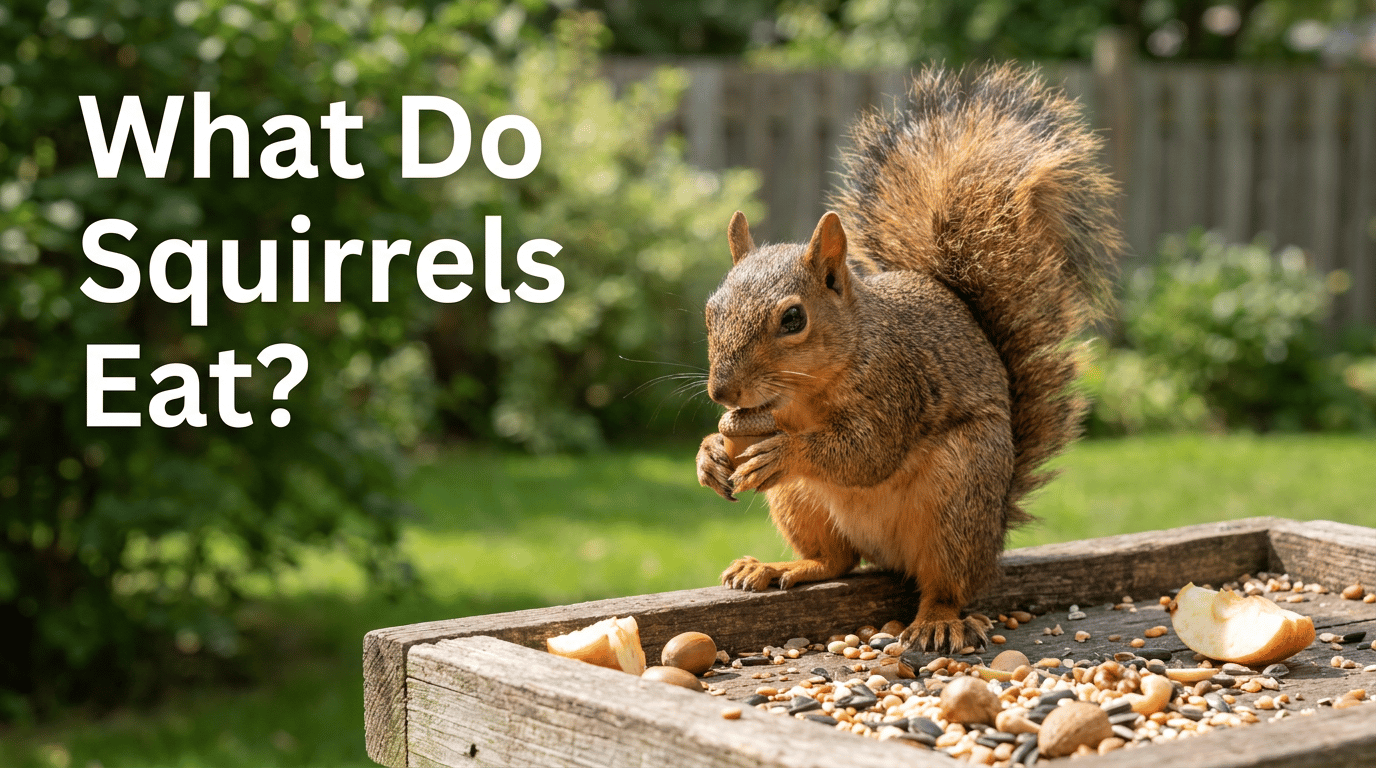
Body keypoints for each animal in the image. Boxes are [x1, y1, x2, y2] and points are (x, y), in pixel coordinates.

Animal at [695, 64, 1121, 653]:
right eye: (710, 309)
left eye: (793, 319)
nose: (722, 392)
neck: (805, 396)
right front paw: (711, 452)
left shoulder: (898, 386)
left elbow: (866, 452)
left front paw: (784, 451)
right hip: (801, 503)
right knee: (836, 560)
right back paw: (779, 567)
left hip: (957, 496)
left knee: (946, 582)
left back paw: (937, 620)